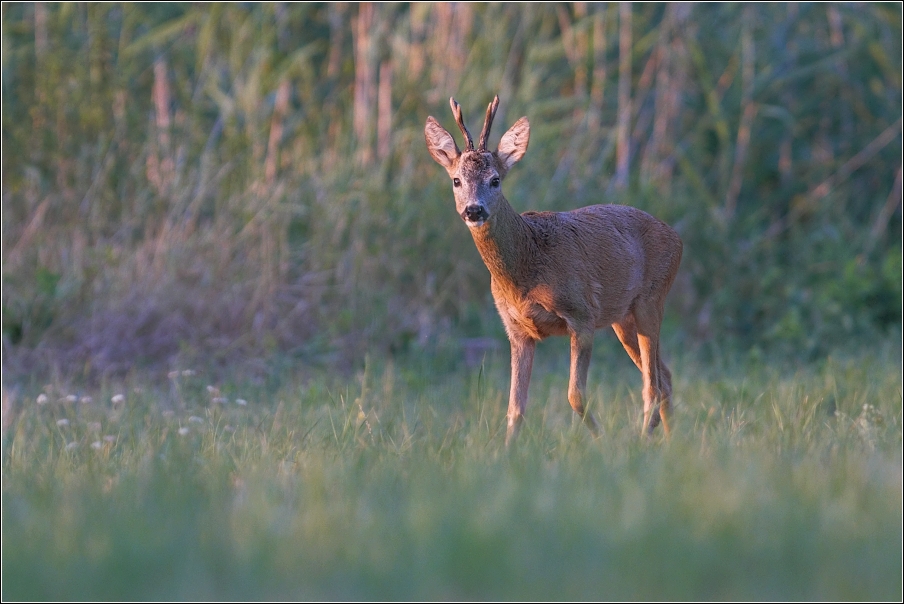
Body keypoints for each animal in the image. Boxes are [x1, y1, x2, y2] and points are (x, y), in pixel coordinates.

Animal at [428, 95, 680, 444]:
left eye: (495, 180)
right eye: (456, 180)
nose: (473, 210)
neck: (527, 267)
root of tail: (677, 238)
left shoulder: (582, 313)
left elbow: (574, 394)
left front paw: (602, 440)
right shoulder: (516, 329)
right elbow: (515, 407)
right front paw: (507, 451)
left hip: (651, 299)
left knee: (652, 385)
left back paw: (645, 439)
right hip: (622, 318)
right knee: (664, 376)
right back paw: (669, 442)